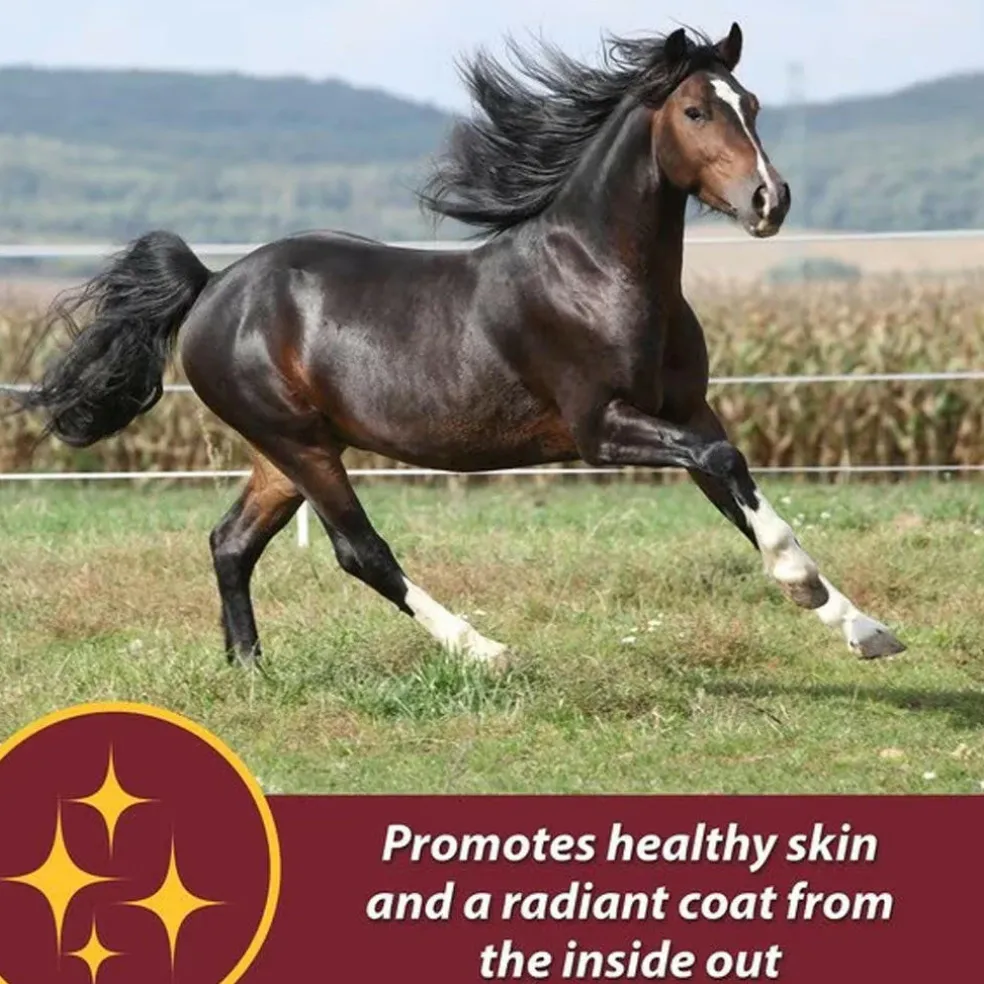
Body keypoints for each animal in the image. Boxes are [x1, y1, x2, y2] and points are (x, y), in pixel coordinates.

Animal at [10, 22, 906, 667]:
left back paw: (250, 669)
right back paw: (485, 650)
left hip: (284, 450)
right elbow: (726, 470)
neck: (598, 273)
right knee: (359, 551)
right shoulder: (602, 427)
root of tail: (210, 286)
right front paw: (804, 590)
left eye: (751, 103)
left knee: (231, 543)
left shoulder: (687, 412)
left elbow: (738, 487)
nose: (769, 199)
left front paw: (862, 628)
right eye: (696, 111)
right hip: (300, 445)